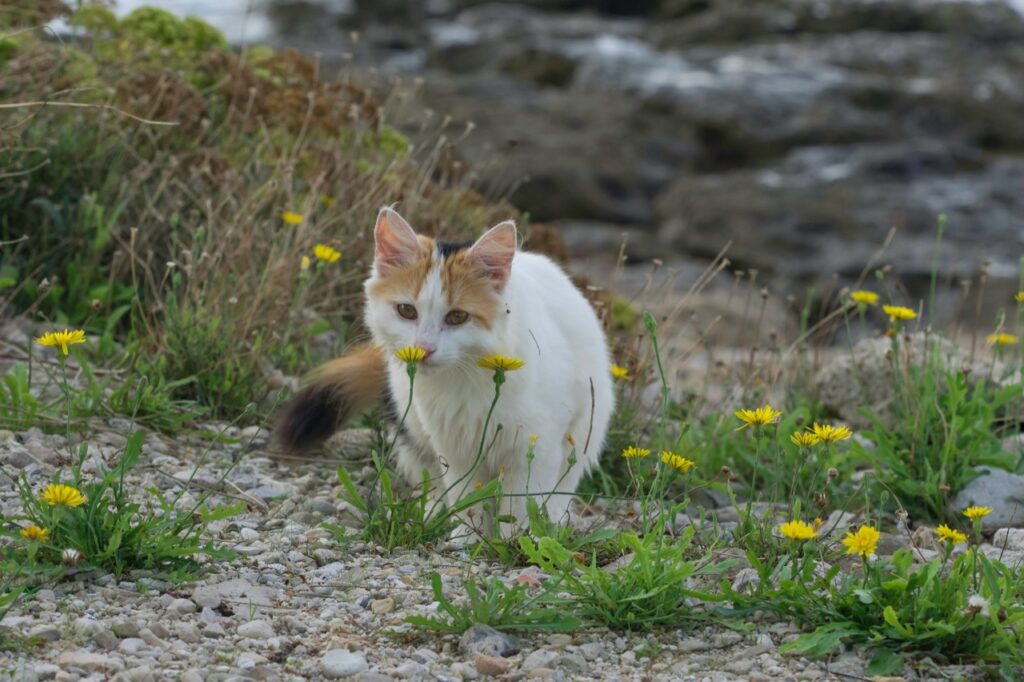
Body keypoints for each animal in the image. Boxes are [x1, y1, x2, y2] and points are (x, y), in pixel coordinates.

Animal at [276, 206, 610, 532]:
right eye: (407, 311)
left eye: (458, 317)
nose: (423, 349)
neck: (466, 380)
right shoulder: (454, 447)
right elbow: (467, 499)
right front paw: (467, 537)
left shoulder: (536, 446)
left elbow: (520, 504)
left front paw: (515, 538)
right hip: (411, 421)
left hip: (585, 430)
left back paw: (555, 520)